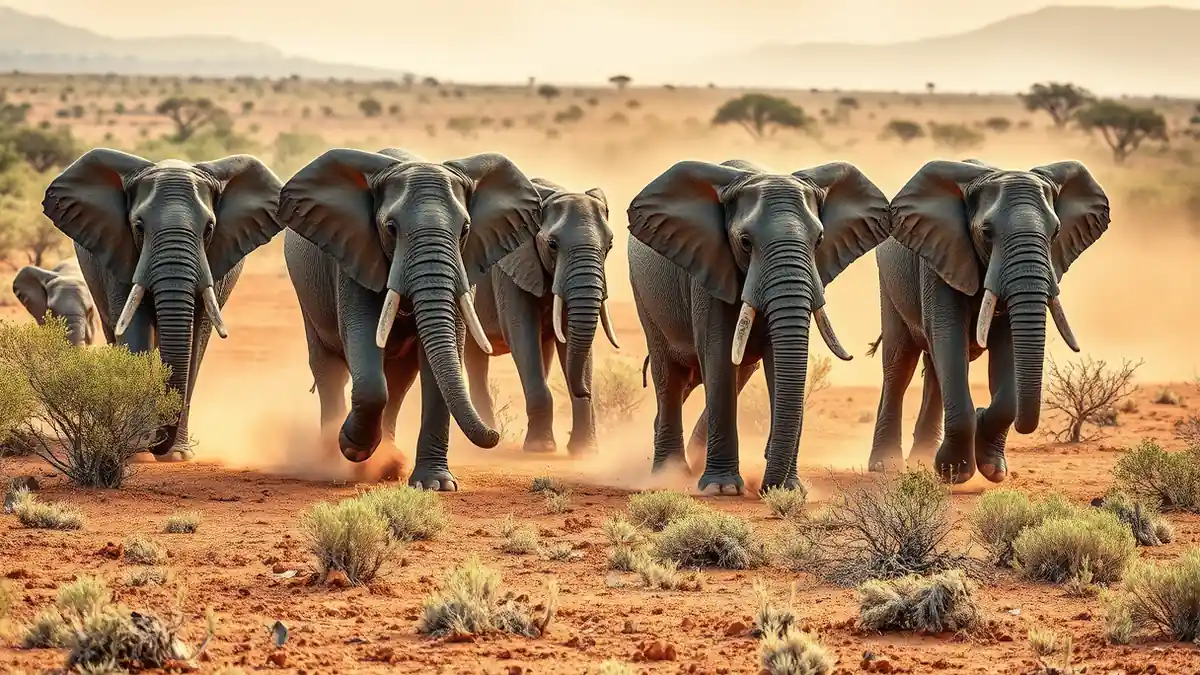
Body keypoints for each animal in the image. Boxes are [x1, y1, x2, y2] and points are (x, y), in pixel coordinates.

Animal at [42, 149, 284, 460]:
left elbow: (196, 339)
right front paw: (137, 451)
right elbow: (134, 331)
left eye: (209, 228)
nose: (156, 443)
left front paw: (177, 455)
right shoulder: (118, 250)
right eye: (138, 227)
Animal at [278, 148, 541, 491]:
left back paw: (388, 463)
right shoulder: (354, 257)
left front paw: (436, 485)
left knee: (399, 379)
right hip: (306, 294)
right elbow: (364, 344)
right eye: (390, 228)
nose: (495, 435)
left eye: (465, 230)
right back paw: (335, 462)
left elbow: (440, 360)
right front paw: (352, 446)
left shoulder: (465, 265)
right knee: (329, 369)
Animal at [464, 178, 619, 455]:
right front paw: (540, 448)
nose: (585, 392)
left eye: (609, 246)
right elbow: (521, 331)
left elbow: (570, 339)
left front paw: (585, 451)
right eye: (552, 245)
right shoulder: (511, 262)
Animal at [627, 159, 891, 494]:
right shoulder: (709, 269)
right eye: (745, 242)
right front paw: (722, 489)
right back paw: (669, 474)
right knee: (669, 377)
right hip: (645, 299)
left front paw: (790, 489)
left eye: (819, 240)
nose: (767, 487)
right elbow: (719, 357)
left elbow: (778, 364)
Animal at [867, 159, 1110, 484]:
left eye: (1056, 231)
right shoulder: (940, 257)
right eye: (986, 231)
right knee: (899, 364)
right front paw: (955, 472)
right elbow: (948, 335)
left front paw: (992, 467)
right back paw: (886, 465)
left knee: (934, 369)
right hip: (889, 283)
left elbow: (1006, 353)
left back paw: (922, 460)